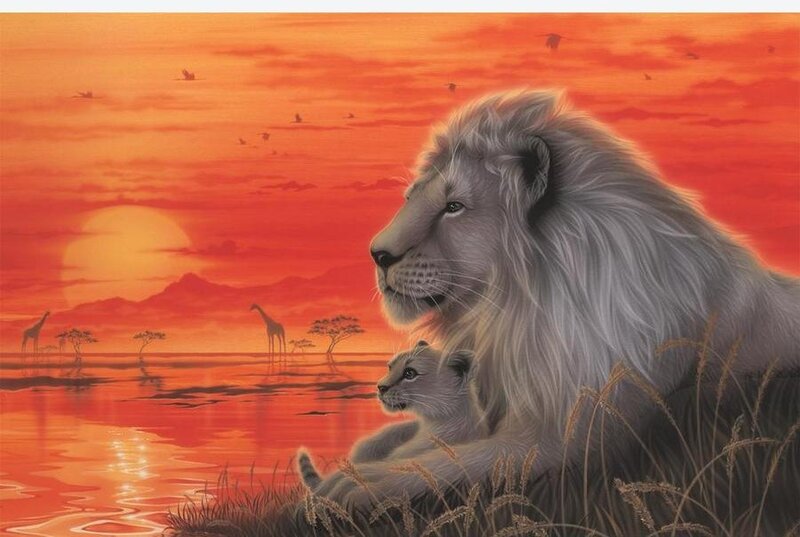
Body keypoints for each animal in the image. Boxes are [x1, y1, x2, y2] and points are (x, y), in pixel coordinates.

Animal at [315, 90, 800, 508]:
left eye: (454, 207)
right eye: (411, 197)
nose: (377, 253)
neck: (512, 316)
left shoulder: (570, 439)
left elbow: (456, 463)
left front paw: (355, 485)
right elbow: (399, 440)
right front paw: (359, 458)